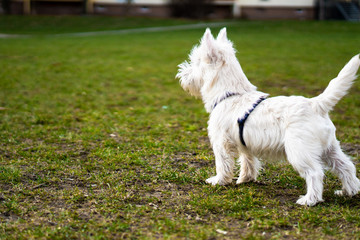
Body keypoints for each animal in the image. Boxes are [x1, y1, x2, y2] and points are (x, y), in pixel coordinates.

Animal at [176, 27, 360, 205]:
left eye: (196, 62)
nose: (181, 75)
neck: (231, 94)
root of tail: (315, 104)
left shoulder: (221, 142)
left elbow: (223, 164)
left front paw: (218, 181)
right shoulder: (245, 144)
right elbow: (248, 162)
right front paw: (245, 179)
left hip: (299, 151)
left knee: (315, 173)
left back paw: (309, 200)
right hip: (330, 148)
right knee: (346, 166)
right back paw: (348, 192)